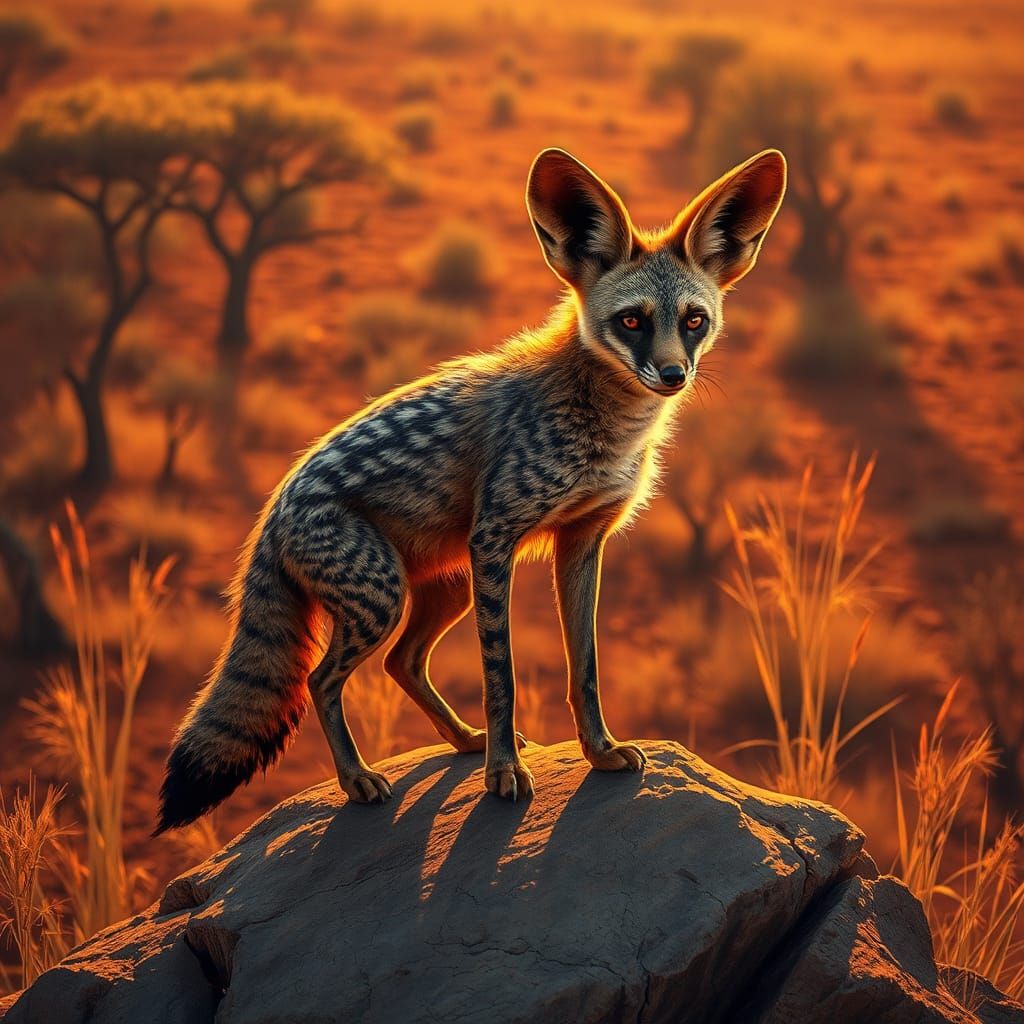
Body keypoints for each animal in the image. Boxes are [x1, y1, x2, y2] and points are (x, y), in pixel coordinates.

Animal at [154, 146, 787, 833]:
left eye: (694, 320)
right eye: (632, 321)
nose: (673, 375)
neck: (602, 426)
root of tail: (270, 513)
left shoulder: (582, 542)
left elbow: (584, 667)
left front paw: (597, 751)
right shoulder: (495, 539)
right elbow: (500, 676)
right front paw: (504, 774)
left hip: (442, 590)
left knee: (401, 663)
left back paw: (461, 741)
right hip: (385, 596)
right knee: (323, 682)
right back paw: (359, 780)